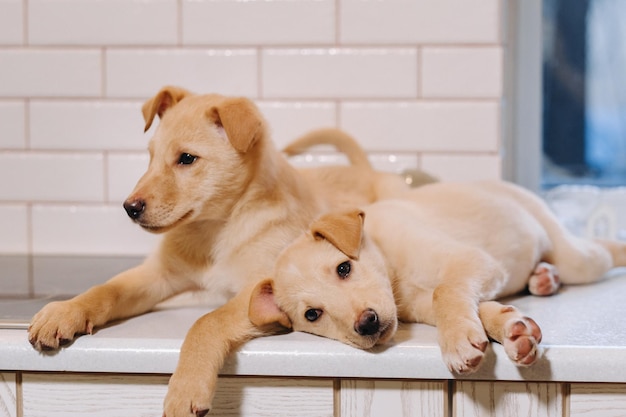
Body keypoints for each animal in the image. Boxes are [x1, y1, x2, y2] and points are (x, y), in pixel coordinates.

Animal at [26, 85, 412, 416]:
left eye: (186, 159)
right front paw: (64, 312)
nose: (129, 208)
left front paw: (185, 388)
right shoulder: (159, 275)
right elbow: (107, 289)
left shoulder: (258, 286)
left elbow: (206, 321)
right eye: (150, 158)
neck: (214, 232)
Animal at [249, 182, 624, 374]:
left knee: (600, 251)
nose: (367, 324)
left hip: (577, 258)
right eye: (312, 314)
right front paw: (511, 329)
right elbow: (468, 306)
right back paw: (544, 278)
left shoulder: (470, 260)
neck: (393, 268)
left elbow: (446, 290)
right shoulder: (417, 304)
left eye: (344, 268)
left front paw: (457, 342)